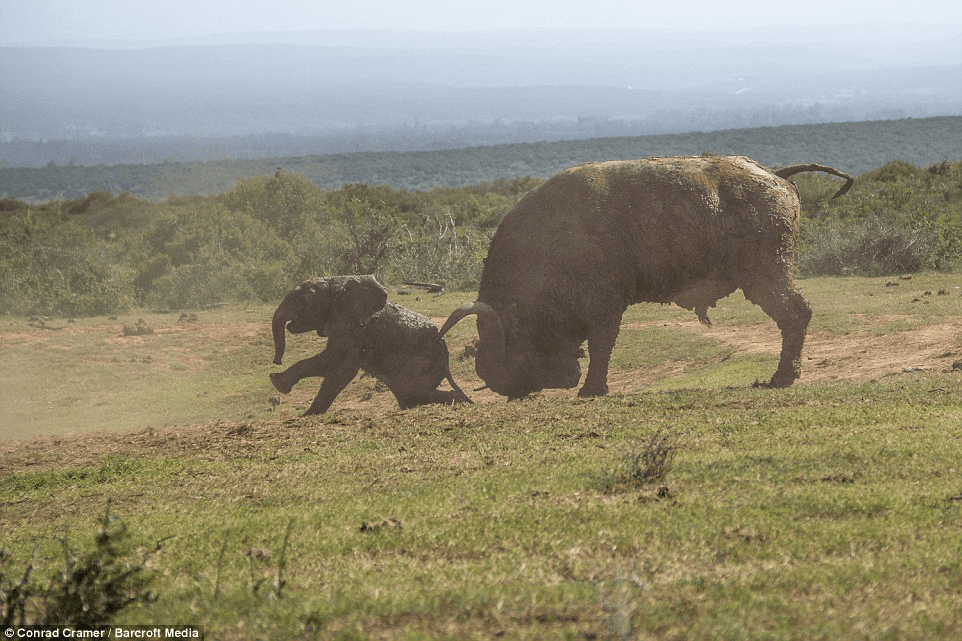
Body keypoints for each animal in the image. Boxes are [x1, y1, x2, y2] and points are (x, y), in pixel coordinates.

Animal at [268, 274, 470, 416]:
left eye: (305, 302)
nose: (277, 361)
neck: (338, 284)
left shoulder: (356, 331)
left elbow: (337, 366)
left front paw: (279, 385)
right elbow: (334, 366)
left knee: (415, 395)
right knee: (411, 396)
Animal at [438, 154, 852, 400]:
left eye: (508, 350)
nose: (505, 386)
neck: (547, 242)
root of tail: (775, 175)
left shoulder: (604, 309)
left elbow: (602, 346)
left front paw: (592, 389)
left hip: (765, 276)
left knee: (796, 313)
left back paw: (782, 377)